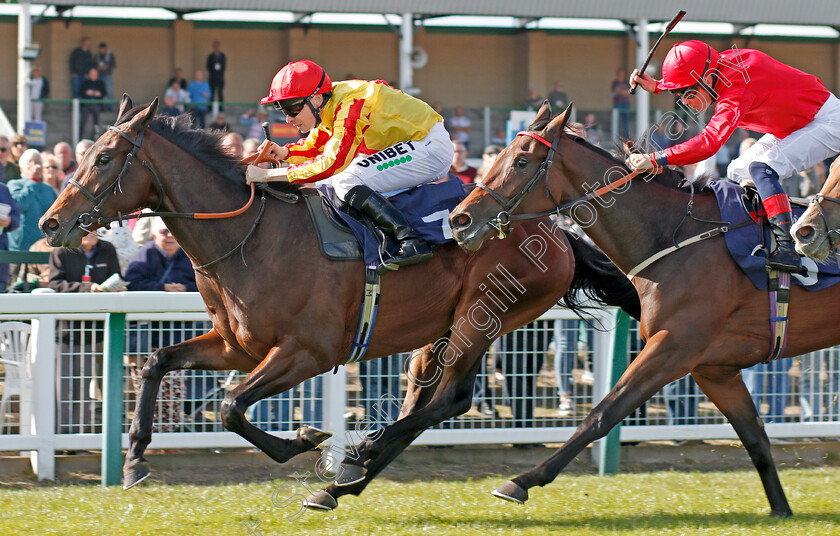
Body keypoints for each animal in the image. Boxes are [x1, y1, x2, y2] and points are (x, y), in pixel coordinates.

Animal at [36, 96, 640, 510]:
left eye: (105, 158)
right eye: (86, 153)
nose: (50, 223)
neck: (252, 237)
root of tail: (555, 230)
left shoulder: (308, 352)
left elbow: (230, 405)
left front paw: (306, 437)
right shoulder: (237, 345)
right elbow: (157, 364)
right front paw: (136, 458)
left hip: (483, 318)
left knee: (451, 398)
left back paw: (359, 456)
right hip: (441, 329)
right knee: (422, 399)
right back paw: (346, 481)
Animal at [450, 99, 840, 516]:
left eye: (521, 161)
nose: (459, 219)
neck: (677, 236)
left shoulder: (672, 349)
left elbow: (602, 414)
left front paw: (521, 481)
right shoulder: (714, 369)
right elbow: (754, 437)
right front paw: (781, 509)